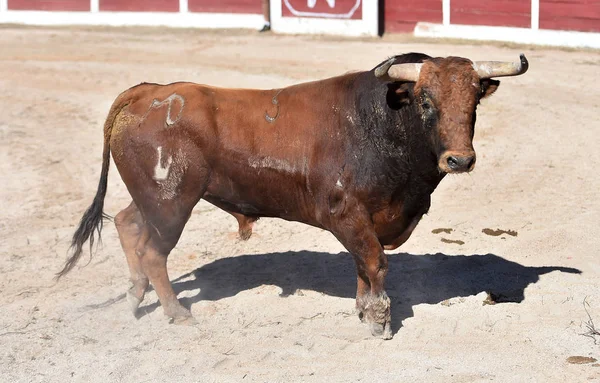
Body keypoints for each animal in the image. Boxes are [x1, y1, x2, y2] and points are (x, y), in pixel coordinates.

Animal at [58, 51, 528, 340]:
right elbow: (375, 262)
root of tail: (148, 91)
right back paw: (175, 312)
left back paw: (135, 298)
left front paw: (363, 308)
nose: (459, 159)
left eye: (474, 102)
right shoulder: (346, 213)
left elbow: (363, 263)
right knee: (154, 252)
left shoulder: (367, 220)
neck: (383, 122)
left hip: (152, 198)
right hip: (172, 203)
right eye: (425, 100)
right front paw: (379, 319)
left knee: (127, 225)